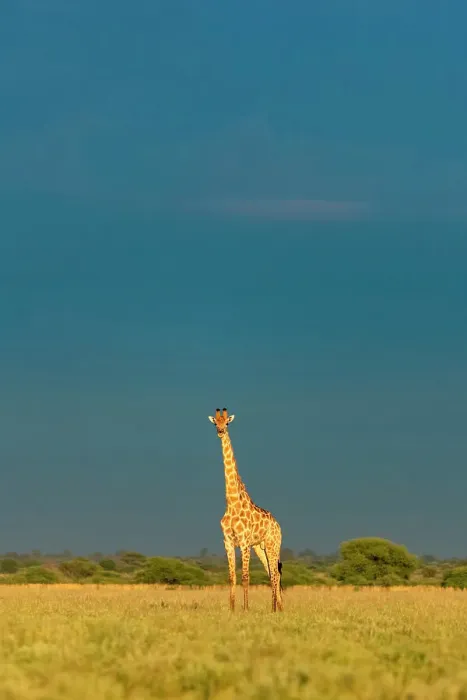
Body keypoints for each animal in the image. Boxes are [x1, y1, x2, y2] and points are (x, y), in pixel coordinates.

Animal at [208, 408, 283, 612]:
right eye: (215, 422)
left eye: (227, 423)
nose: (220, 431)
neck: (232, 502)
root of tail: (278, 525)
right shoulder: (227, 541)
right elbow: (232, 576)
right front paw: (232, 608)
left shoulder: (243, 542)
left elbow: (245, 576)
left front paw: (246, 609)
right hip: (260, 547)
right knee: (272, 573)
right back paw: (278, 607)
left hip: (273, 544)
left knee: (276, 574)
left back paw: (274, 609)